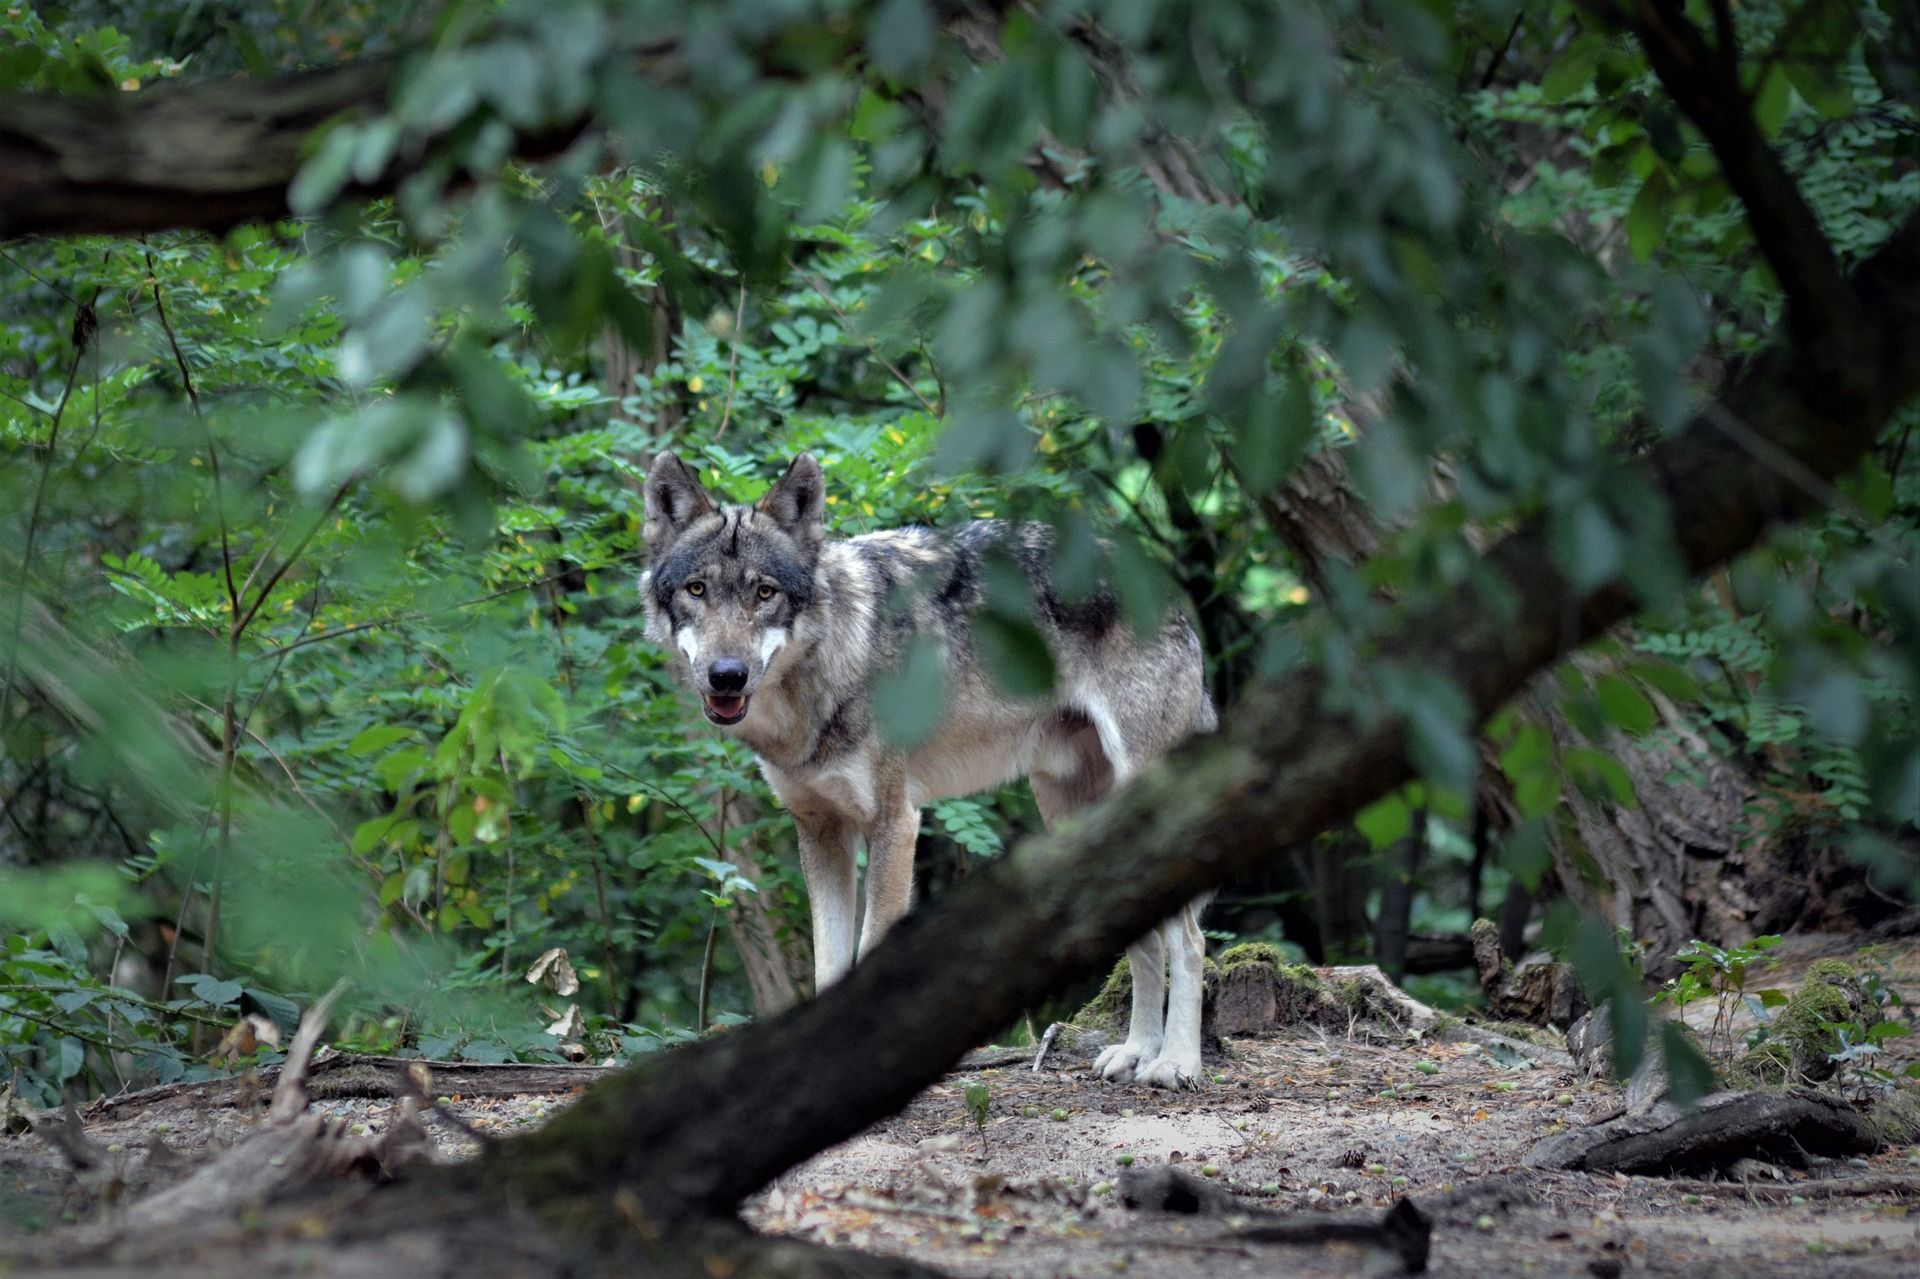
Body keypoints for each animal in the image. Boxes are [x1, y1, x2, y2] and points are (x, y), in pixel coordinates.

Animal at [645, 453, 1213, 1083]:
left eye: (764, 592)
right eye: (697, 590)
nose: (727, 676)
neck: (830, 670)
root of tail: (1156, 578)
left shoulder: (895, 823)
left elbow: (866, 954)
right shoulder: (820, 831)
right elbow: (827, 965)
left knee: (1190, 940)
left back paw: (1176, 1062)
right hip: (1076, 813)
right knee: (1148, 933)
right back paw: (1137, 1051)